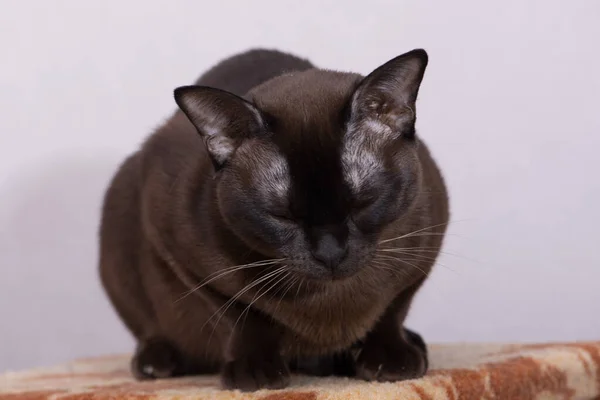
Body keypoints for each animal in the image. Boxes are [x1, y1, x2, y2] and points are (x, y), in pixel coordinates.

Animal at [98, 47, 448, 390]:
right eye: (281, 216)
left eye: (363, 204)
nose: (330, 254)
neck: (331, 300)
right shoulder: (185, 259)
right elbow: (244, 316)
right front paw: (255, 374)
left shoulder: (423, 253)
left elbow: (391, 310)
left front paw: (390, 363)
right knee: (152, 329)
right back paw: (157, 362)